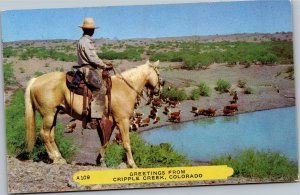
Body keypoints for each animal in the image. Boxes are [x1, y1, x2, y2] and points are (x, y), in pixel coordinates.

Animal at [25, 60, 162, 168]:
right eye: (158, 74)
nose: (159, 90)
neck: (125, 88)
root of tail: (35, 80)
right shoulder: (122, 120)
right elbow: (126, 143)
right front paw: (132, 164)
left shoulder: (110, 122)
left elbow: (105, 141)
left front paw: (100, 161)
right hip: (48, 114)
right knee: (44, 134)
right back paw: (55, 159)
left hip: (53, 114)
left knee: (50, 135)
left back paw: (59, 158)